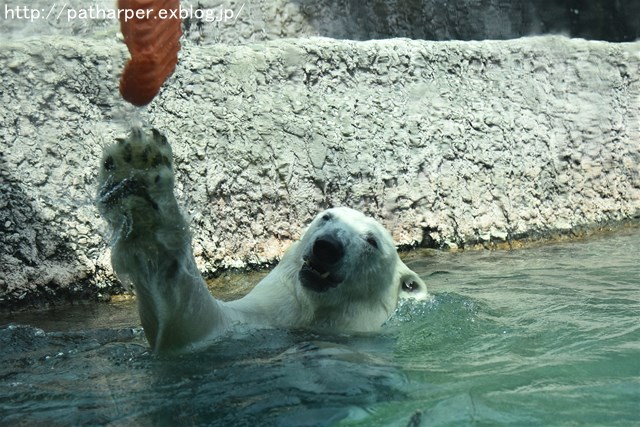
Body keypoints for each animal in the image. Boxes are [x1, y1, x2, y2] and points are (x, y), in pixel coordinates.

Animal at [97, 129, 428, 352]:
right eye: (327, 216)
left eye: (372, 241)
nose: (327, 247)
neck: (313, 314)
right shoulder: (266, 316)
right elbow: (199, 325)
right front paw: (137, 177)